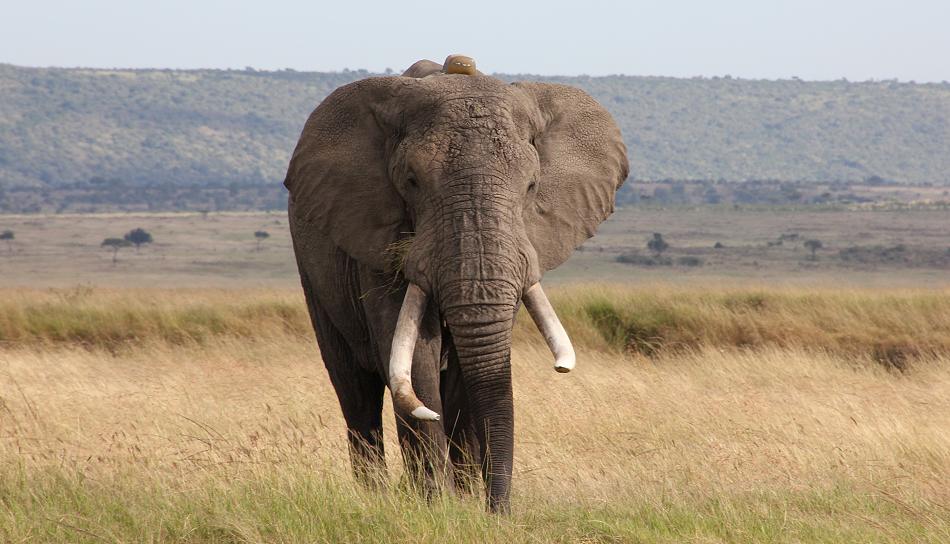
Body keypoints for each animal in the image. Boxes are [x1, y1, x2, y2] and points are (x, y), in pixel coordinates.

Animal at [288, 54, 632, 510]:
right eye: (412, 182)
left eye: (531, 186)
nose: (499, 511)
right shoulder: (376, 235)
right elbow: (414, 355)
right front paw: (436, 504)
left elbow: (472, 372)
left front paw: (464, 501)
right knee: (355, 390)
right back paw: (374, 497)